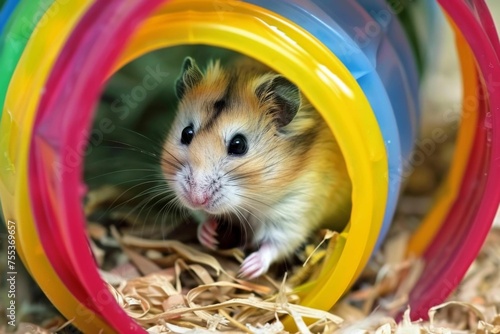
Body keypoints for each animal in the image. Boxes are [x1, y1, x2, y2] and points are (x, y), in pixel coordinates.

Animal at [161, 56, 352, 278]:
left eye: (238, 145)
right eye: (186, 133)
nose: (196, 199)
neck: (249, 201)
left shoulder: (294, 211)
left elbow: (275, 244)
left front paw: (246, 270)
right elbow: (203, 219)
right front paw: (209, 236)